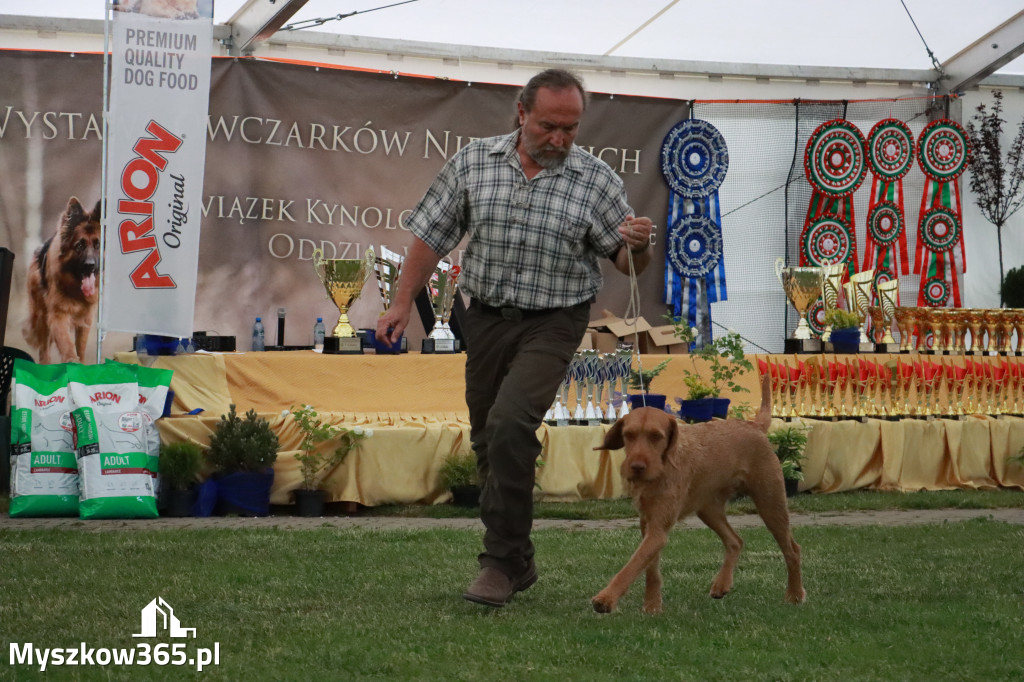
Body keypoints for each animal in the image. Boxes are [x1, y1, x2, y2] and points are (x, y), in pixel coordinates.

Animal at [24, 196, 101, 364]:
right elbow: (67, 344)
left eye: (98, 245)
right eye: (79, 246)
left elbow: (81, 349)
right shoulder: (58, 315)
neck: (76, 288)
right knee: (44, 350)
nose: (90, 266)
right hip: (42, 317)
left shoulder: (86, 320)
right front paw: (71, 360)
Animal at [598, 374, 802, 614]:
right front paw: (652, 605)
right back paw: (722, 584)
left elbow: (632, 566)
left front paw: (606, 598)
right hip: (709, 509)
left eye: (656, 436)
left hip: (771, 503)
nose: (636, 467)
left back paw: (795, 595)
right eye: (628, 435)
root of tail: (754, 425)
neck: (663, 468)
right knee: (735, 541)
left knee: (792, 550)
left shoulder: (657, 530)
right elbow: (649, 567)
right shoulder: (648, 523)